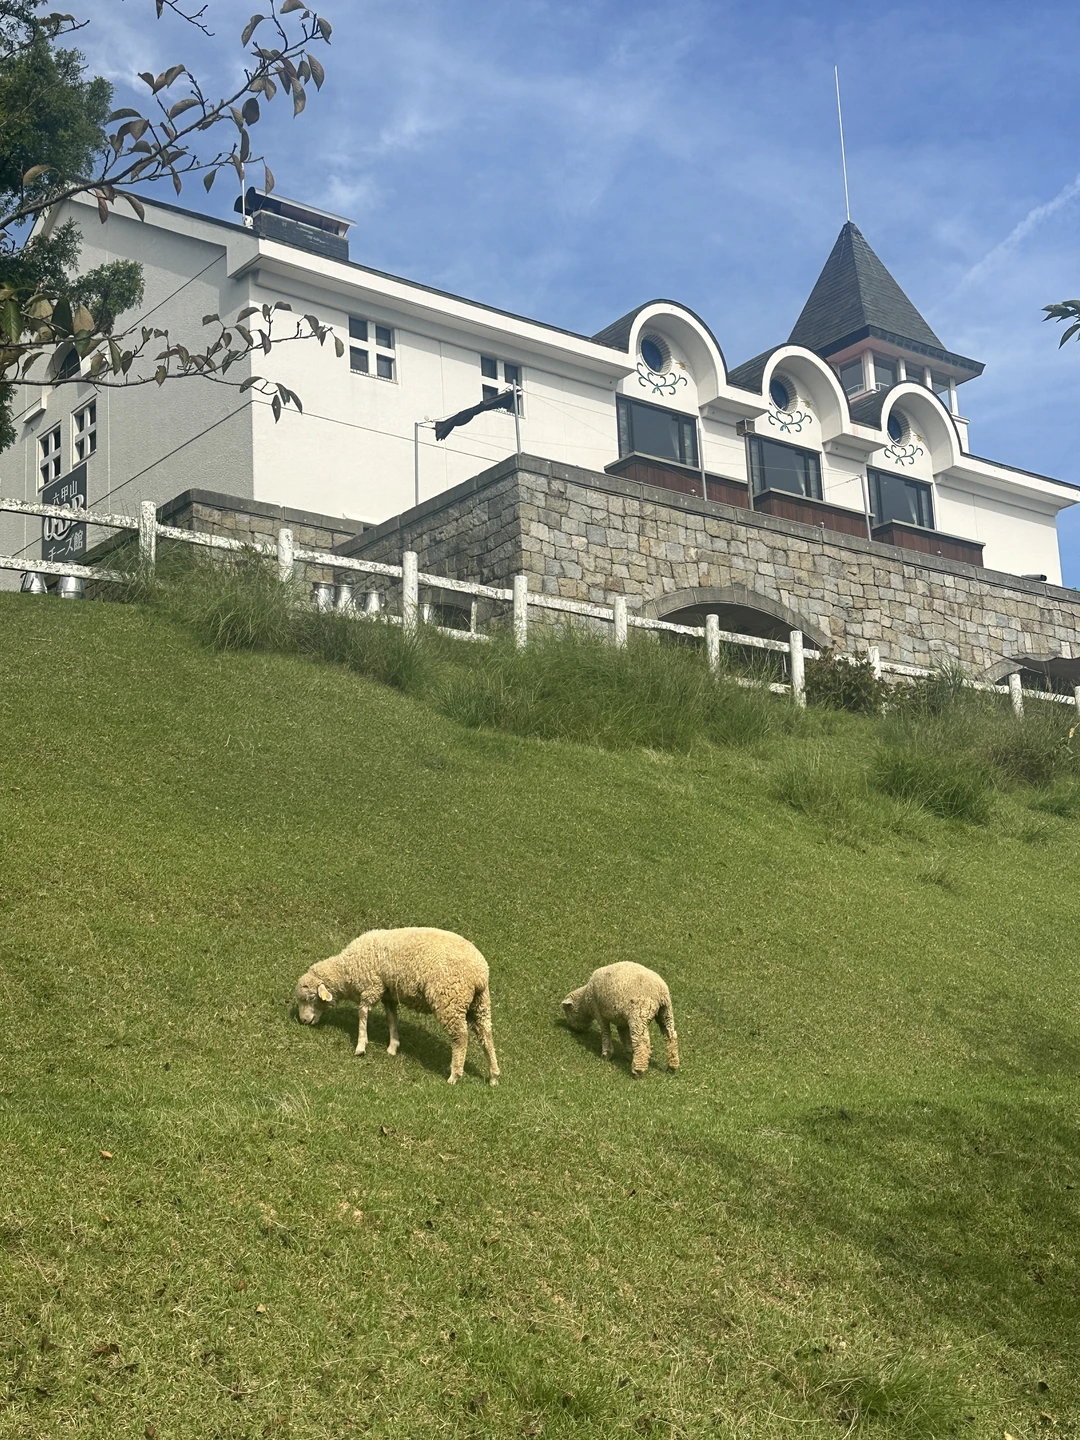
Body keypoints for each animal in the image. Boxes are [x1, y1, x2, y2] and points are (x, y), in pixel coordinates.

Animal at [293, 927, 501, 1082]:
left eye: (310, 998)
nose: (303, 1021)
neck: (345, 970)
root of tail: (479, 973)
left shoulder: (372, 986)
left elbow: (362, 1014)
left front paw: (361, 1045)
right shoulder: (388, 993)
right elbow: (392, 1018)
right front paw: (393, 1046)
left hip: (450, 1000)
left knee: (461, 1037)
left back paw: (455, 1075)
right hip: (480, 1003)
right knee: (486, 1035)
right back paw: (493, 1075)